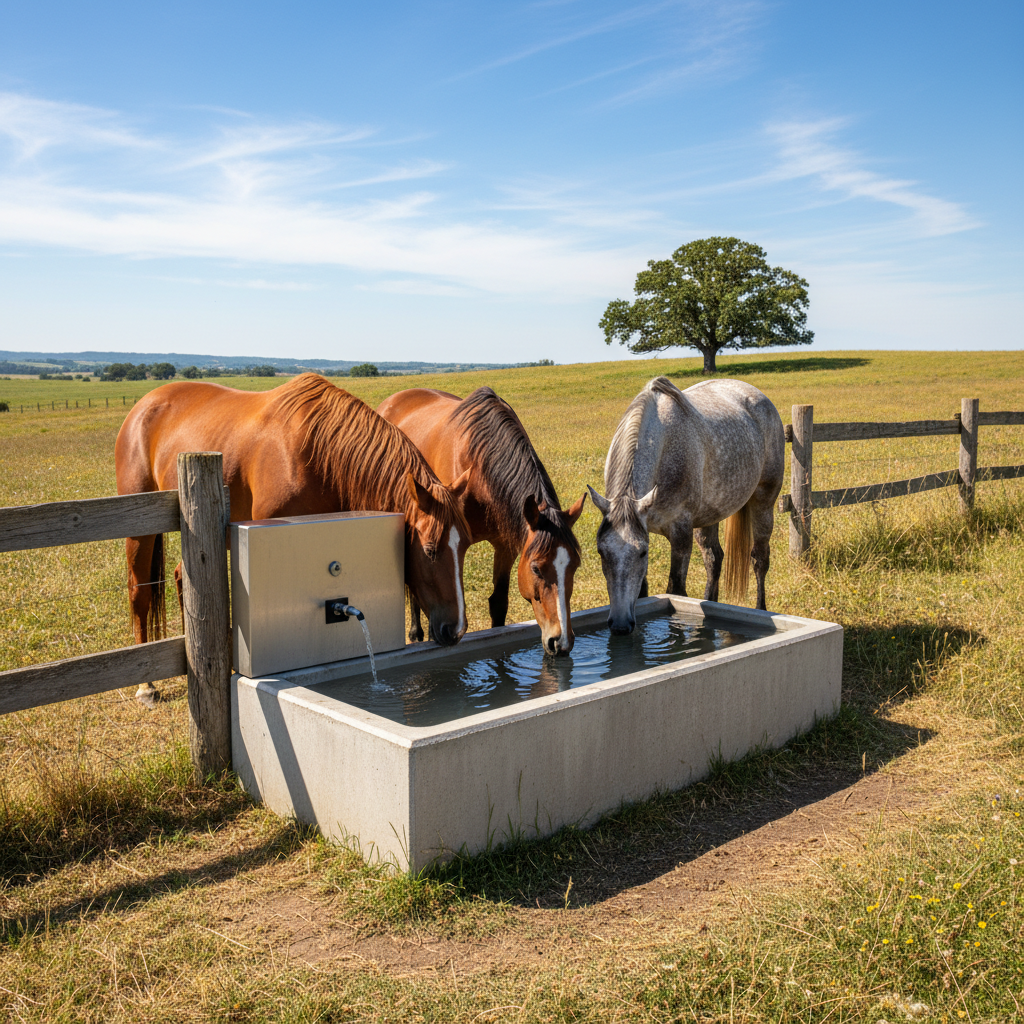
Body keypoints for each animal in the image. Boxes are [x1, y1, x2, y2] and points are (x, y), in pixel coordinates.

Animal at [115, 373, 474, 651]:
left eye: (466, 548)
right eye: (430, 550)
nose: (455, 630)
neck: (321, 456)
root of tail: (144, 404)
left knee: (180, 576)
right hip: (139, 528)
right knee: (139, 591)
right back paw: (147, 686)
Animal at [377, 387, 586, 655]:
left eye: (575, 566)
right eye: (536, 568)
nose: (561, 642)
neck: (479, 468)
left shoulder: (506, 546)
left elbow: (498, 603)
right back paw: (415, 633)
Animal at [588, 376, 784, 634]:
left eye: (643, 553)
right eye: (601, 552)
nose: (620, 625)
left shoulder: (680, 534)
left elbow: (676, 591)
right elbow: (642, 594)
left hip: (763, 502)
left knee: (759, 559)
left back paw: (761, 610)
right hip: (709, 515)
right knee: (714, 560)